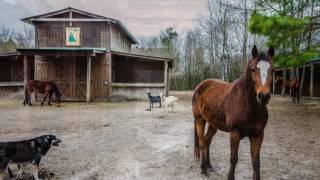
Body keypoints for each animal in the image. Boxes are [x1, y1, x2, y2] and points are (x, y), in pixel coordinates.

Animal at [192, 45, 276, 179]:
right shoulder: (235, 134)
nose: (264, 96)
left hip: (213, 124)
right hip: (200, 120)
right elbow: (233, 159)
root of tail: (200, 86)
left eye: (272, 69)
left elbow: (256, 163)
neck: (249, 107)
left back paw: (209, 166)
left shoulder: (258, 135)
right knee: (201, 142)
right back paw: (203, 169)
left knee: (207, 141)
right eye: (253, 69)